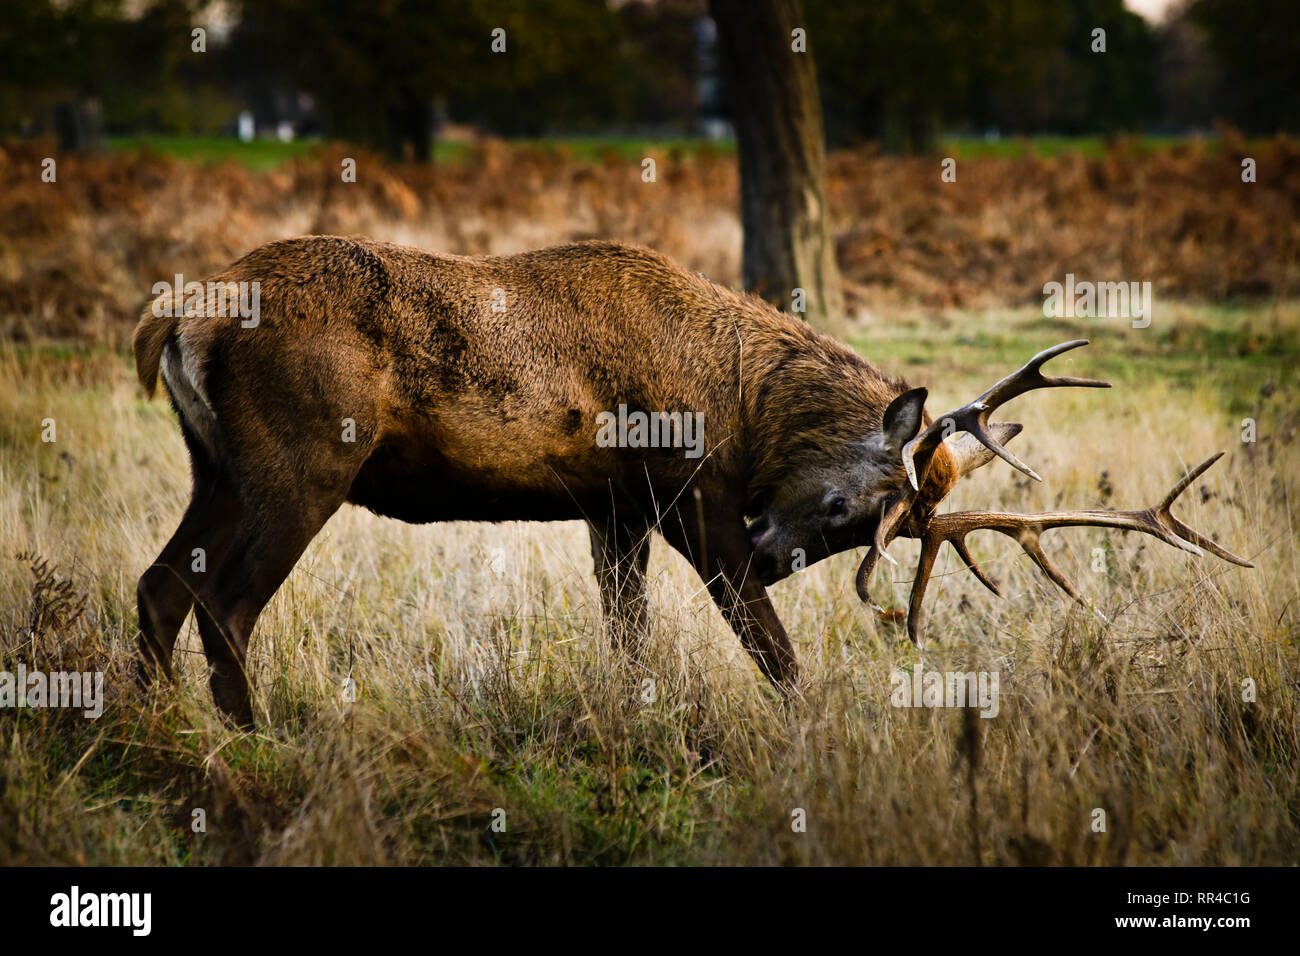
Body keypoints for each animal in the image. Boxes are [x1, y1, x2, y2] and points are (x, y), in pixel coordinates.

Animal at [131, 236, 1251, 728]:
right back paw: (256, 737)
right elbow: (767, 639)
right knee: (225, 599)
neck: (741, 399)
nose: (774, 546)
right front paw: (811, 727)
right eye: (845, 508)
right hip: (304, 456)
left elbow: (625, 630)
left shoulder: (610, 505)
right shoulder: (684, 490)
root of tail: (175, 317)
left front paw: (634, 711)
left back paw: (157, 728)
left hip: (214, 465)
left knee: (159, 582)